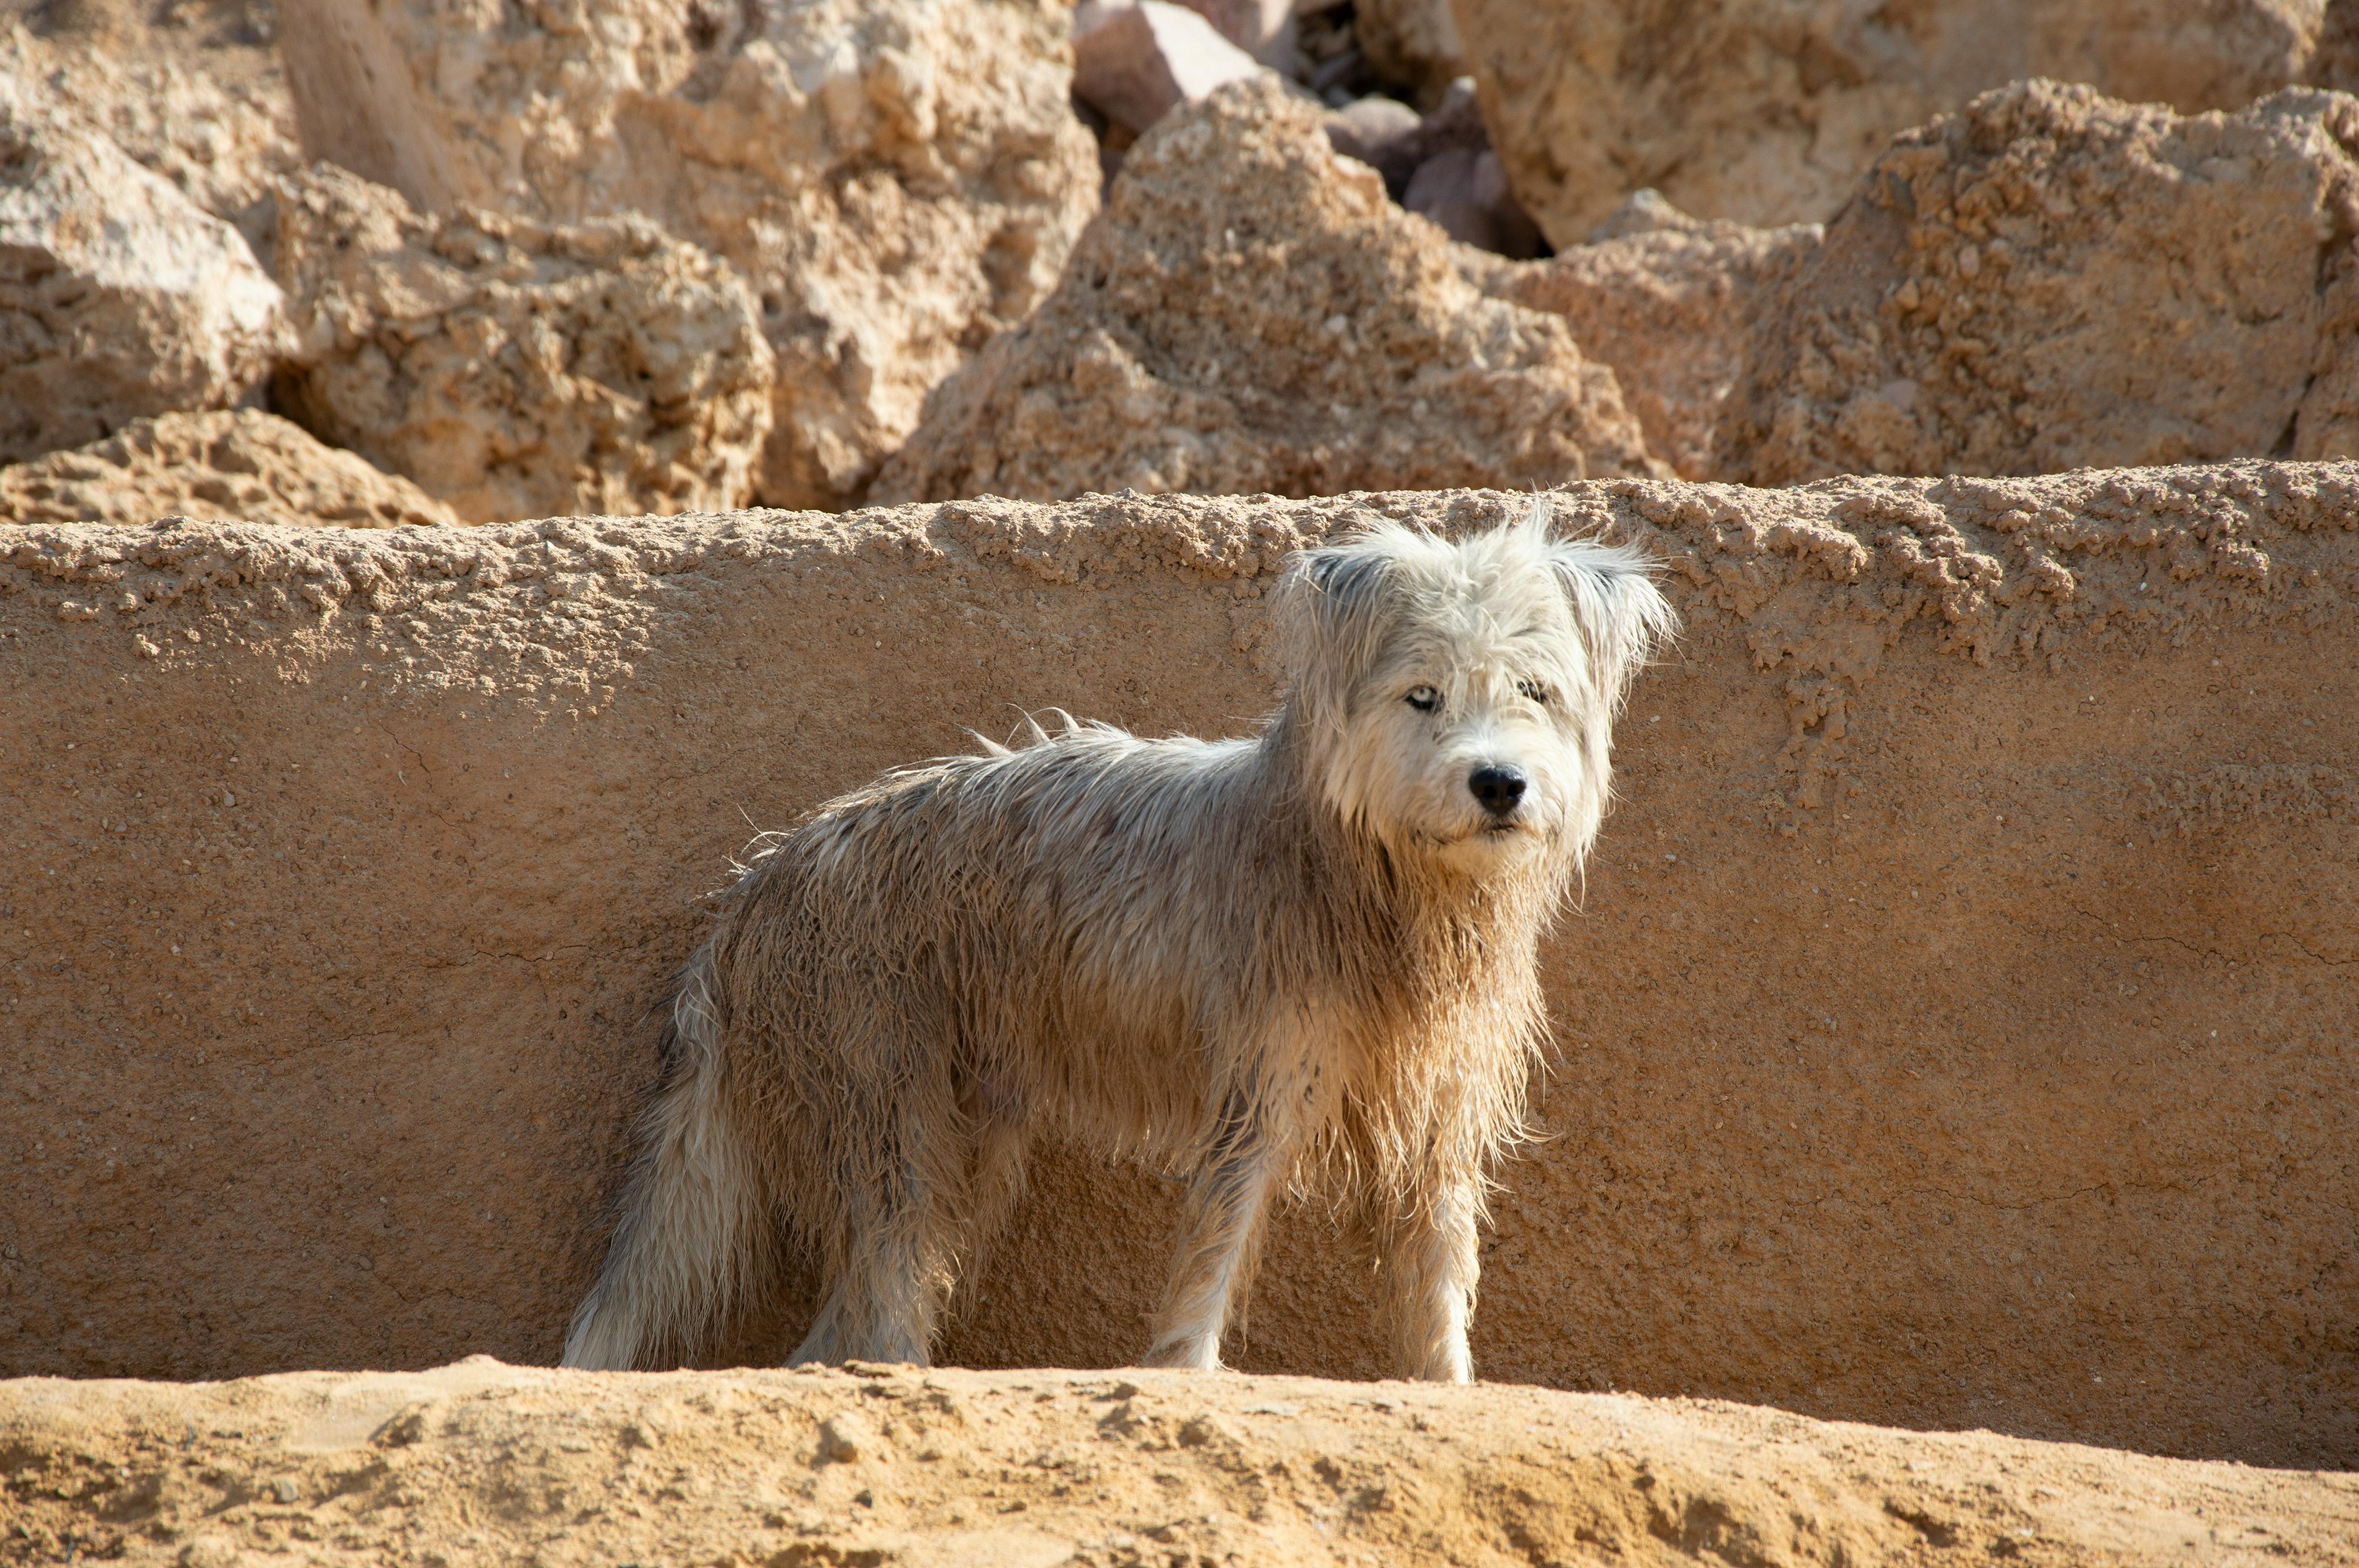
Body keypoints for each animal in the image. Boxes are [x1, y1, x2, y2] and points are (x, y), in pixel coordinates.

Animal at [559, 495, 1670, 1377]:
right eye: (1423, 695)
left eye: (1533, 691)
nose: (1499, 783)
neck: (1373, 880)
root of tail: (754, 888)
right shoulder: (1260, 1092)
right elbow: (1216, 1252)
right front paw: (1187, 1372)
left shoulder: (1440, 1108)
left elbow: (1437, 1279)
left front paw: (1449, 1389)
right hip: (894, 1127)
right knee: (878, 1304)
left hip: (961, 1152)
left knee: (831, 1331)